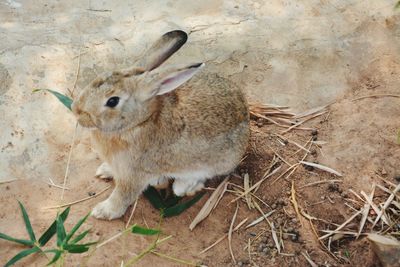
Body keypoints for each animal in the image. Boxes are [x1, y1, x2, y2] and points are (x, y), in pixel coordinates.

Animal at [70, 30, 248, 221]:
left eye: (112, 101)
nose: (76, 111)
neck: (138, 122)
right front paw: (104, 170)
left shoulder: (133, 175)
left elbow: (123, 196)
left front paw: (102, 211)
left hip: (214, 163)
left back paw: (182, 186)